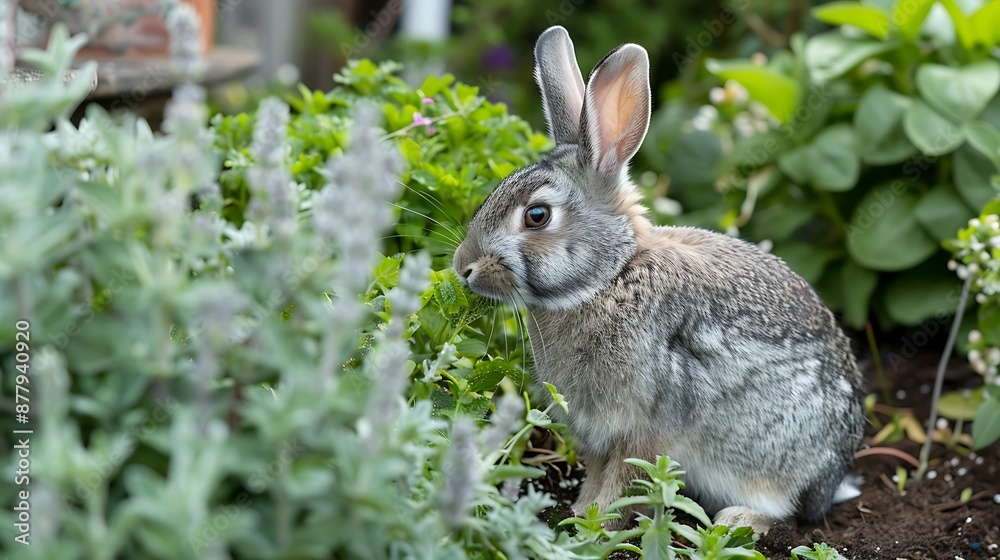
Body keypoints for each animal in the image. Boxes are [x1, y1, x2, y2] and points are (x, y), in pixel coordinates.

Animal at [451, 25, 865, 534]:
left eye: (537, 215)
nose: (463, 267)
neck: (610, 277)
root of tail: (833, 479)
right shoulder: (597, 433)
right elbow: (599, 474)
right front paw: (578, 515)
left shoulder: (649, 428)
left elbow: (627, 480)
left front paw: (597, 529)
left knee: (782, 510)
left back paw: (735, 520)